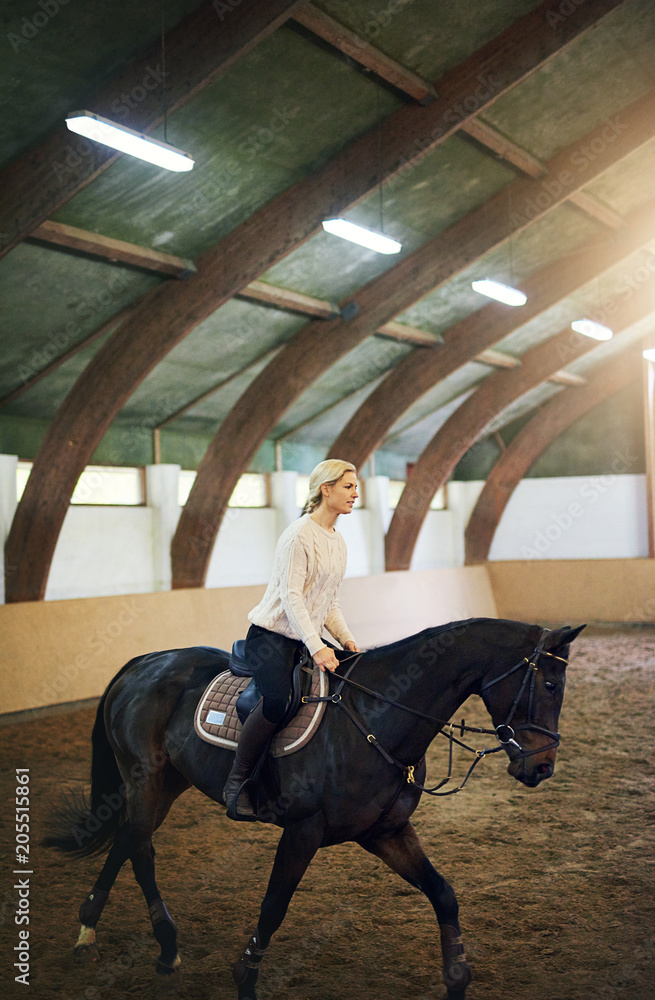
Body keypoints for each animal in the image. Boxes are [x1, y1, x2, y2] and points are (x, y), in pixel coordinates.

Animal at [47, 616, 584, 1000]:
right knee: (139, 848)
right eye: (550, 685)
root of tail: (144, 662)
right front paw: (245, 977)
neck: (378, 716)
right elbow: (273, 907)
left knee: (127, 840)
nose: (542, 767)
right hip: (145, 779)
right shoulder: (302, 832)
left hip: (168, 784)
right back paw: (150, 943)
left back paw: (100, 932)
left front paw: (456, 977)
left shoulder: (386, 832)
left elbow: (443, 893)